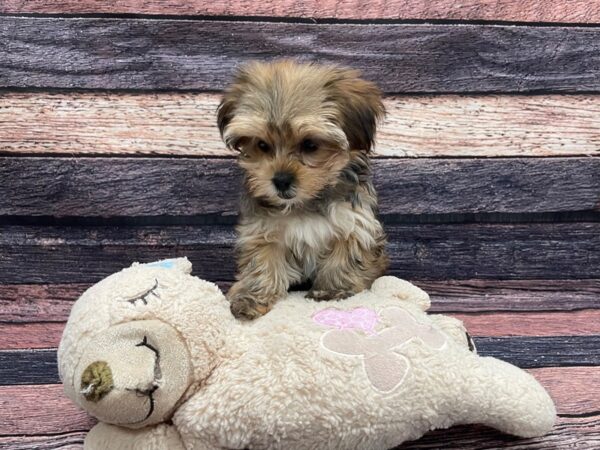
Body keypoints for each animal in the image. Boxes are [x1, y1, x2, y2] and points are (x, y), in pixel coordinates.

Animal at [218, 59, 386, 320]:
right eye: (262, 145)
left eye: (310, 145)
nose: (281, 180)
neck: (304, 203)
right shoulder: (263, 231)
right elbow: (262, 264)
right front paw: (252, 298)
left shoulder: (353, 223)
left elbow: (345, 257)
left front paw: (331, 291)